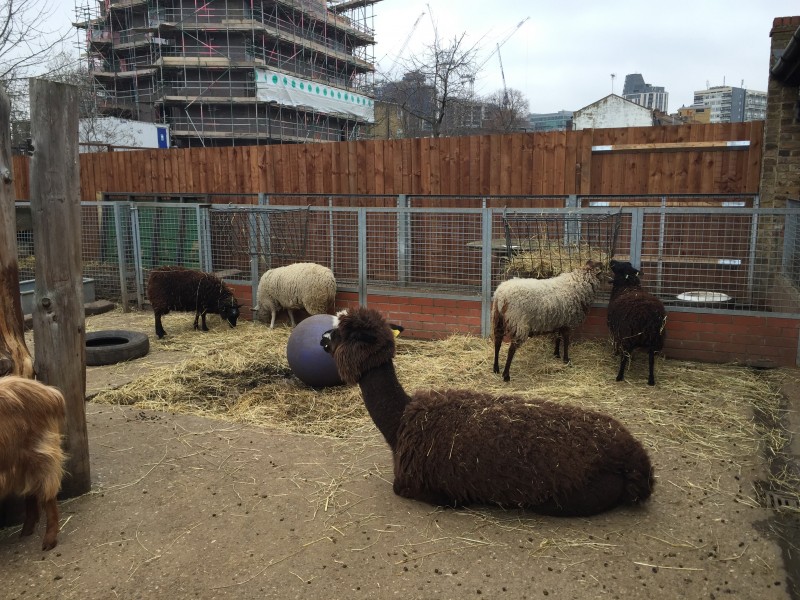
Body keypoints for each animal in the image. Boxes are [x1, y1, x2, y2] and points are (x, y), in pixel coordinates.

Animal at [0, 378, 66, 552]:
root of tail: (52, 394)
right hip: (21, 461)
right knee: (31, 491)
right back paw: (26, 530)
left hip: (42, 451)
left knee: (48, 492)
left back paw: (49, 541)